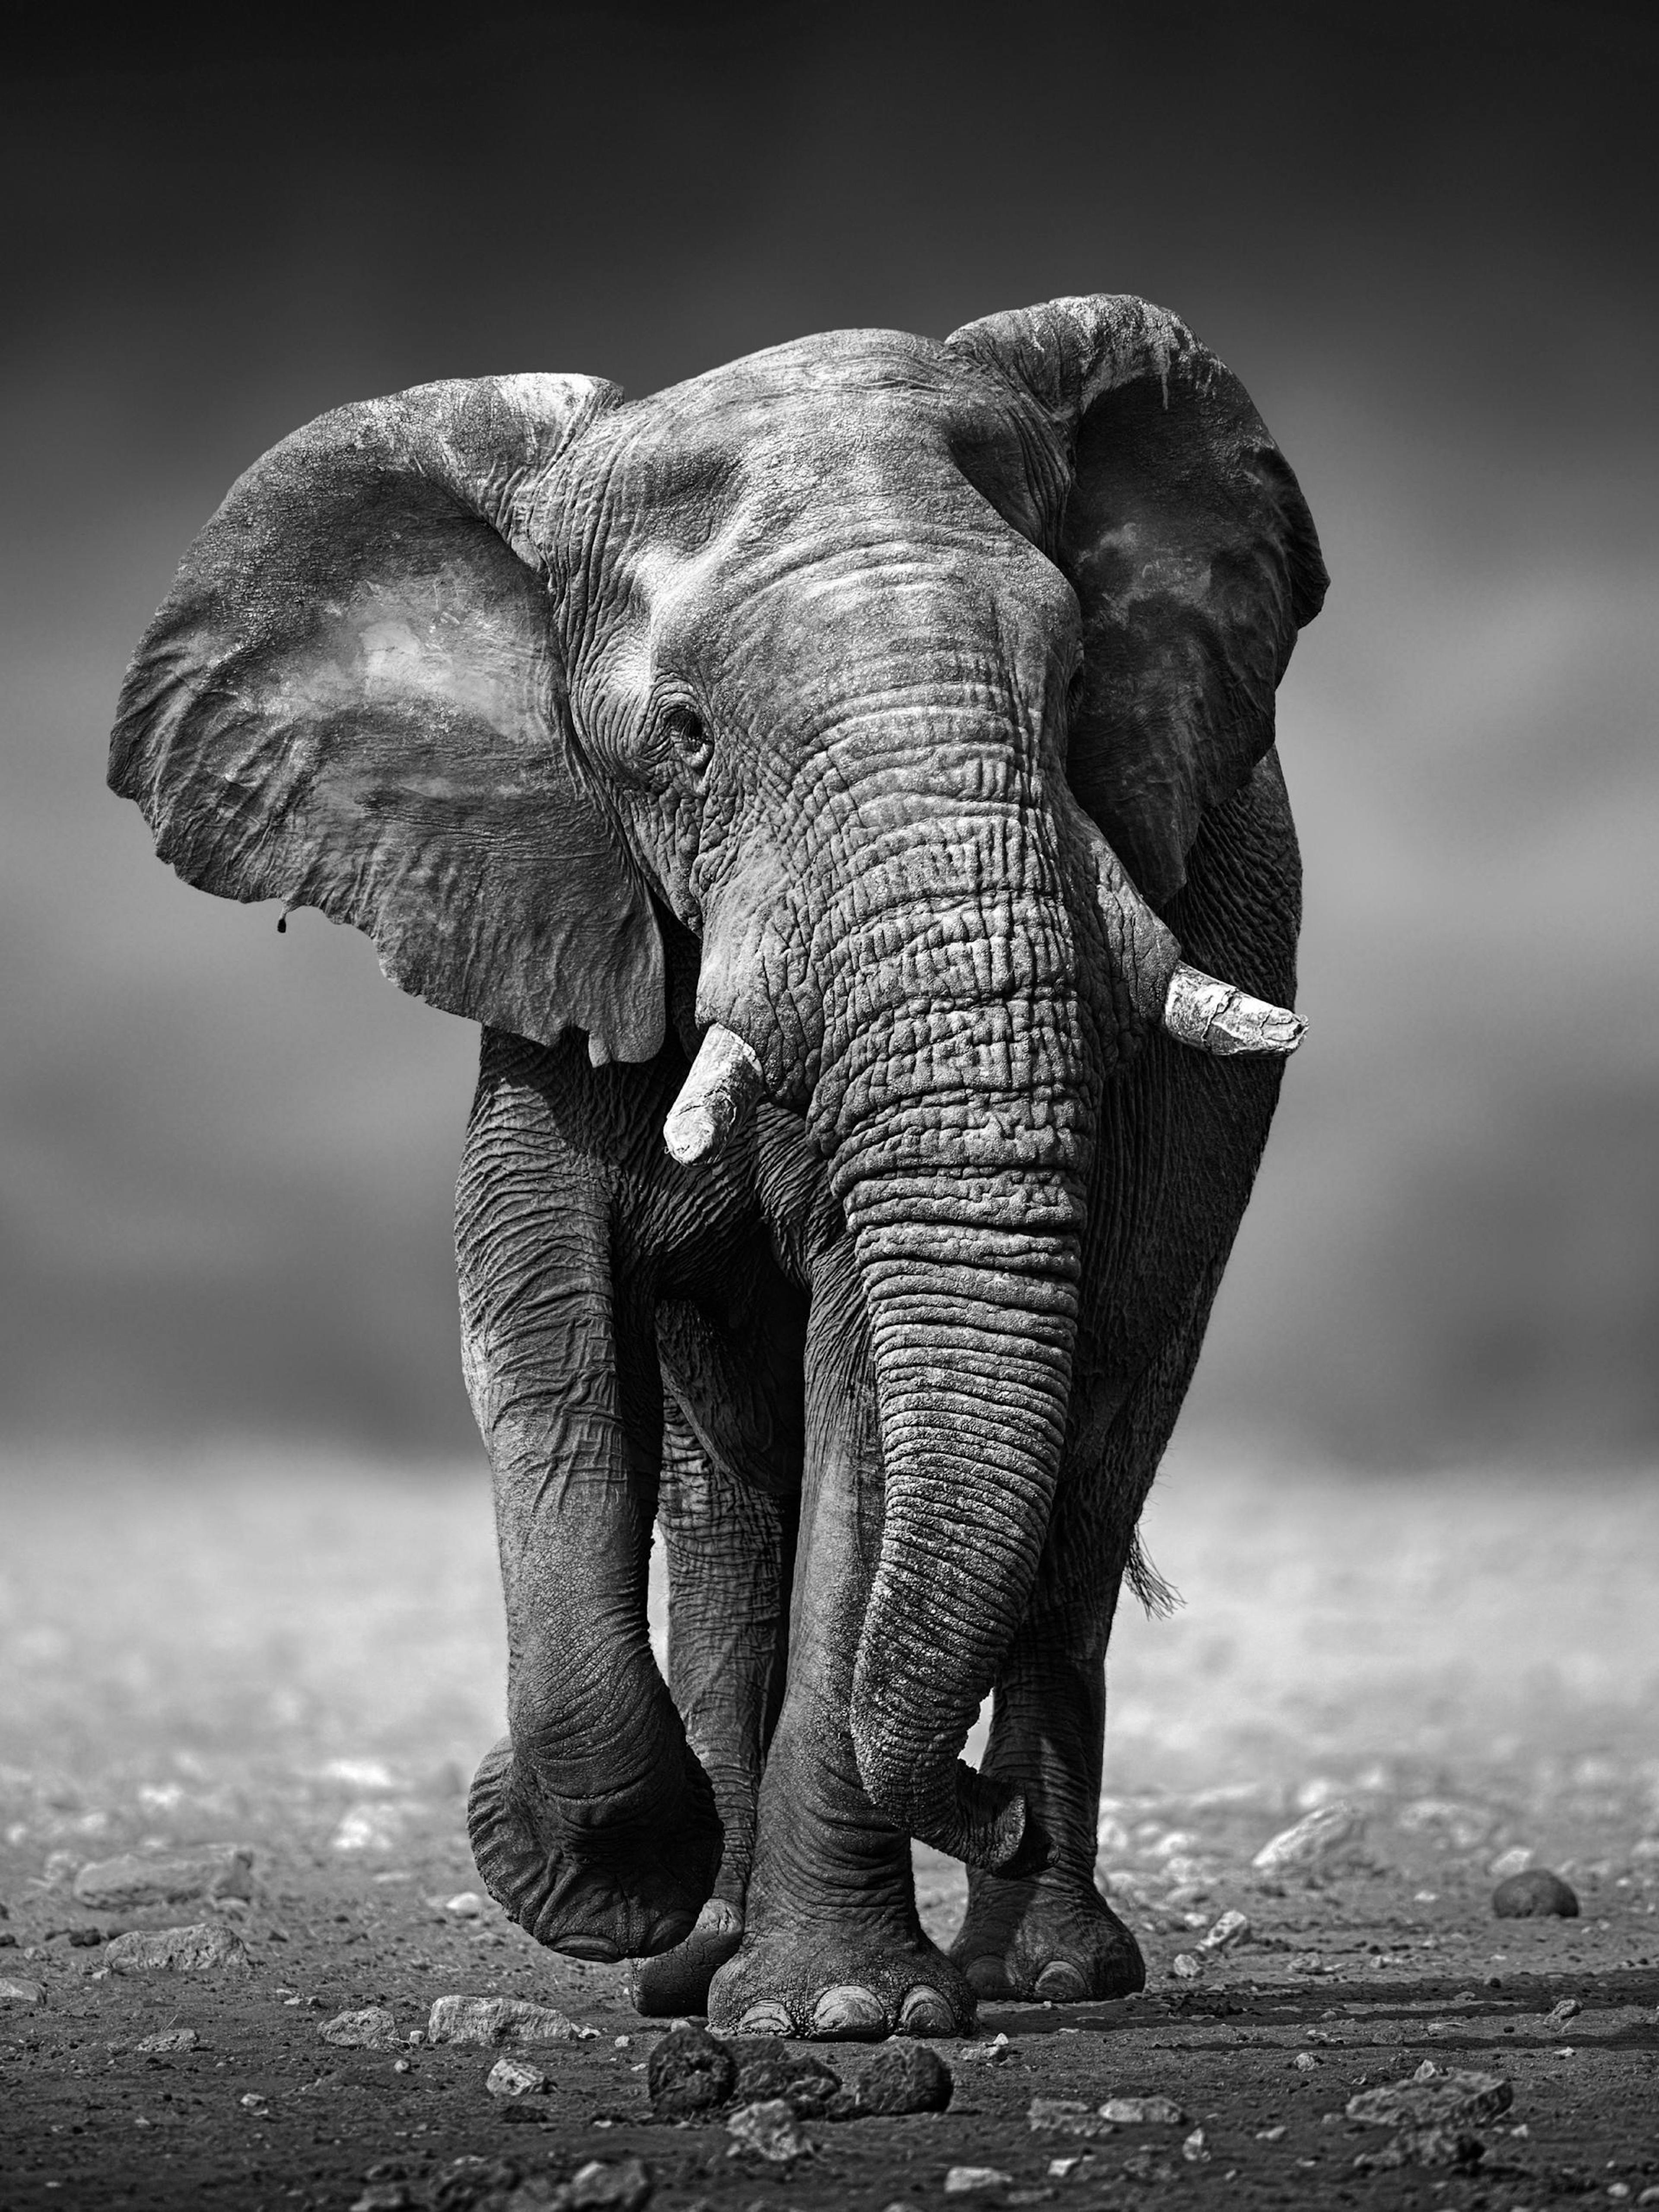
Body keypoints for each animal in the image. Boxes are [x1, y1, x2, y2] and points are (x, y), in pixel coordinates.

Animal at [109, 293, 1325, 2041]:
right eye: (682, 738)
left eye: (1080, 676)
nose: (977, 1812)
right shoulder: (549, 906)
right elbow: (540, 1334)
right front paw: (601, 1883)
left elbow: (867, 1383)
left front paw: (841, 2016)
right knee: (728, 1500)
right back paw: (703, 1960)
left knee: (1090, 1458)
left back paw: (1037, 1972)